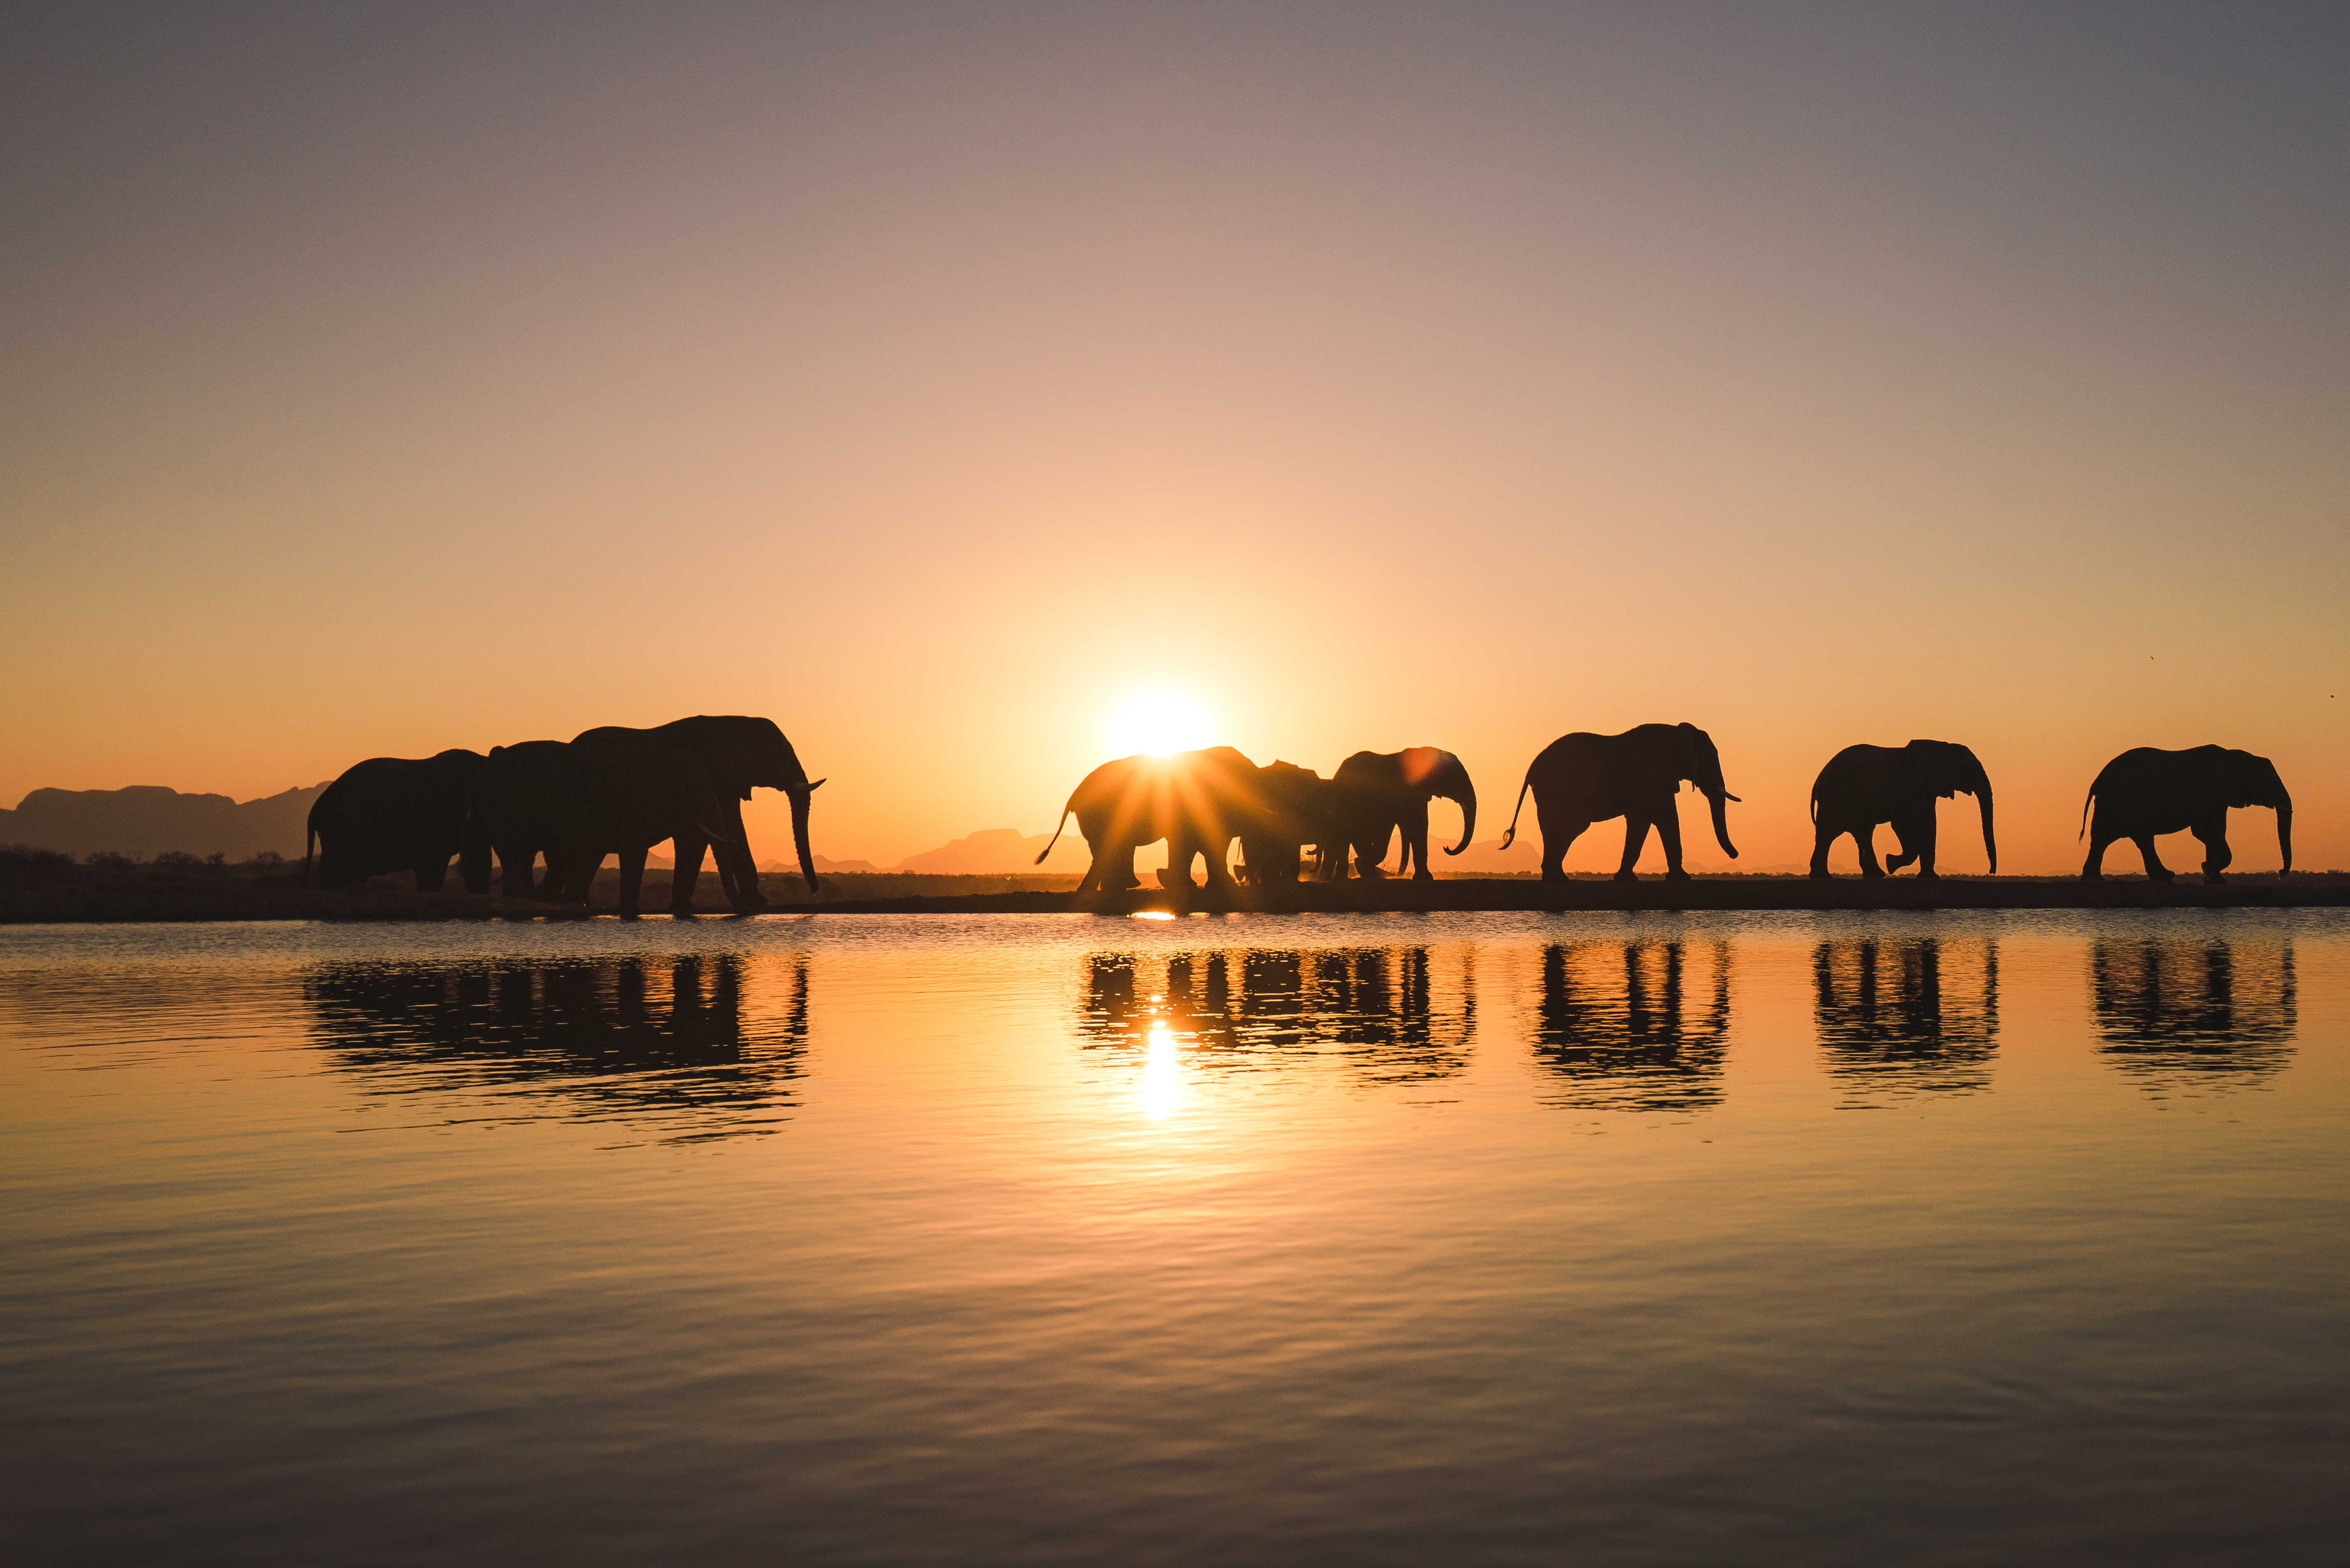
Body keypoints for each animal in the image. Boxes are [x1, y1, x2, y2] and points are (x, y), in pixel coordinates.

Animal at [465, 740, 740, 915]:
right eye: (689, 786)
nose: (739, 909)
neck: (656, 756)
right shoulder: (626, 807)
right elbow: (632, 851)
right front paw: (628, 912)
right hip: (503, 807)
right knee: (517, 853)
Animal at [571, 715, 824, 911]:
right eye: (781, 754)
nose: (814, 892)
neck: (735, 722)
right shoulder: (713, 776)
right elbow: (726, 826)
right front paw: (759, 902)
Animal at [1497, 722, 1740, 882]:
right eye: (1710, 758)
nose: (1735, 855)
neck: (1675, 730)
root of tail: (1532, 767)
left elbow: (1657, 819)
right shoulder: (1649, 775)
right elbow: (1653, 819)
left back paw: (1556, 878)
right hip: (1557, 789)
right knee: (1570, 827)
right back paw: (1558, 879)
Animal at [1808, 740, 1995, 880]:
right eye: (1968, 769)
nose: (1991, 872)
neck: (1941, 746)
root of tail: (1818, 779)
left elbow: (1919, 824)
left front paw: (1893, 864)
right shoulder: (1913, 789)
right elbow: (1913, 824)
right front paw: (1892, 863)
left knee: (1861, 831)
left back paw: (1874, 875)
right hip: (1835, 799)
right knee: (1829, 834)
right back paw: (1823, 877)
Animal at [2080, 745, 2291, 884]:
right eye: (2267, 783)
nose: (2280, 874)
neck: (2234, 756)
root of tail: (2096, 781)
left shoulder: (2218, 799)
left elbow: (2213, 833)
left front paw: (2214, 879)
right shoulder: (2209, 793)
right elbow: (2206, 832)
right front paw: (2208, 869)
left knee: (2107, 839)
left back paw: (2096, 880)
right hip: (2121, 801)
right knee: (2131, 838)